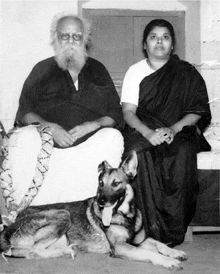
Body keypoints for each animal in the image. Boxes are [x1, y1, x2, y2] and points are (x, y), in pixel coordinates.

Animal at [0, 152, 187, 270]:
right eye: (101, 184)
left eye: (116, 183)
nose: (100, 201)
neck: (126, 216)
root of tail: (8, 227)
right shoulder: (120, 247)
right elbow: (149, 252)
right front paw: (167, 261)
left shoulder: (140, 240)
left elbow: (160, 244)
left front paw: (175, 252)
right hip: (62, 214)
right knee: (32, 252)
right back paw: (66, 251)